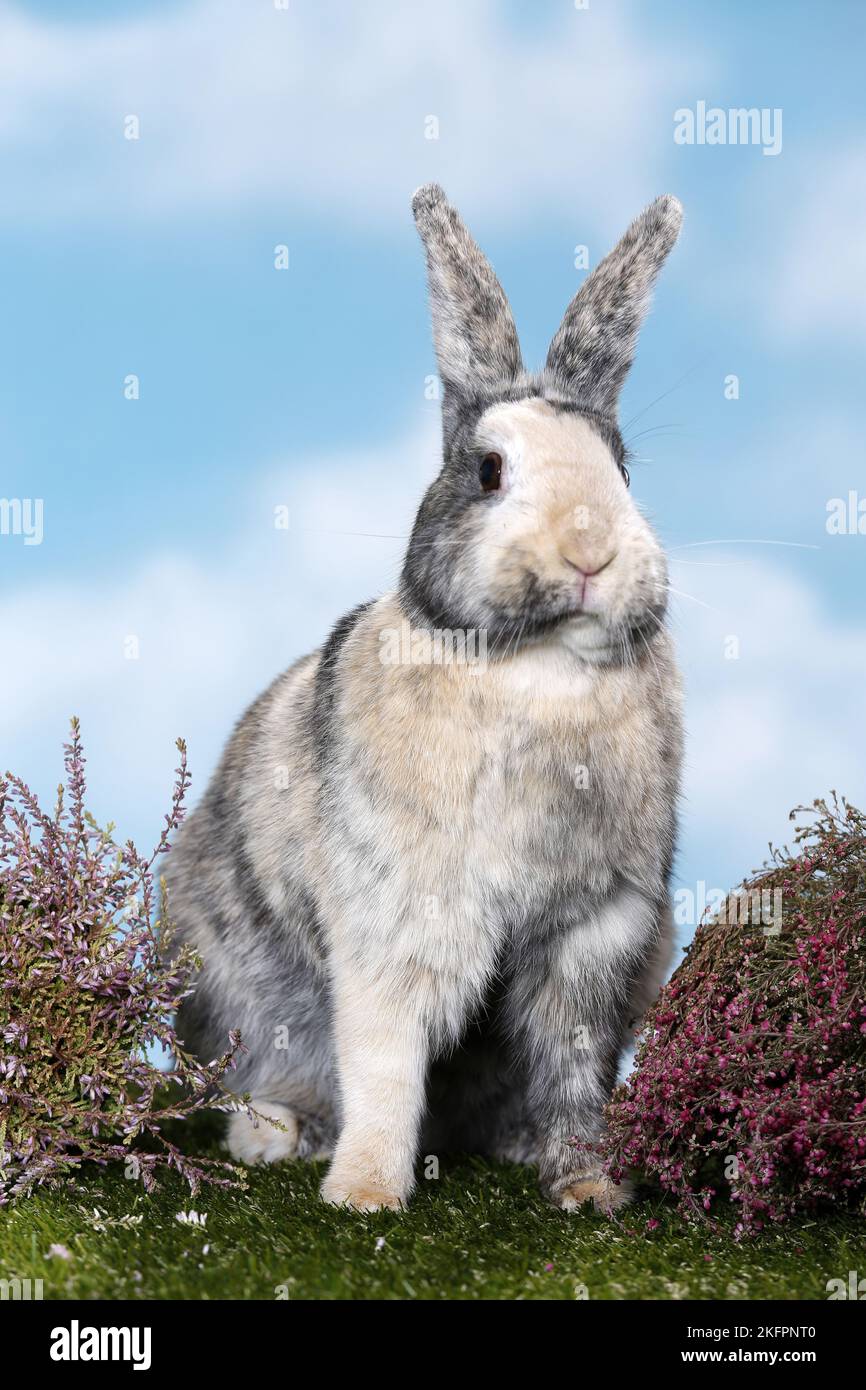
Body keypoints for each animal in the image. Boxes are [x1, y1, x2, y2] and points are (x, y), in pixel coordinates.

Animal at [165, 185, 684, 1213]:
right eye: (488, 472)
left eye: (623, 469)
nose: (592, 552)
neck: (536, 669)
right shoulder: (399, 925)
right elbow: (386, 1063)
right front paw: (365, 1193)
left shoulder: (599, 934)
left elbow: (574, 1066)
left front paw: (590, 1187)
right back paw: (275, 1135)